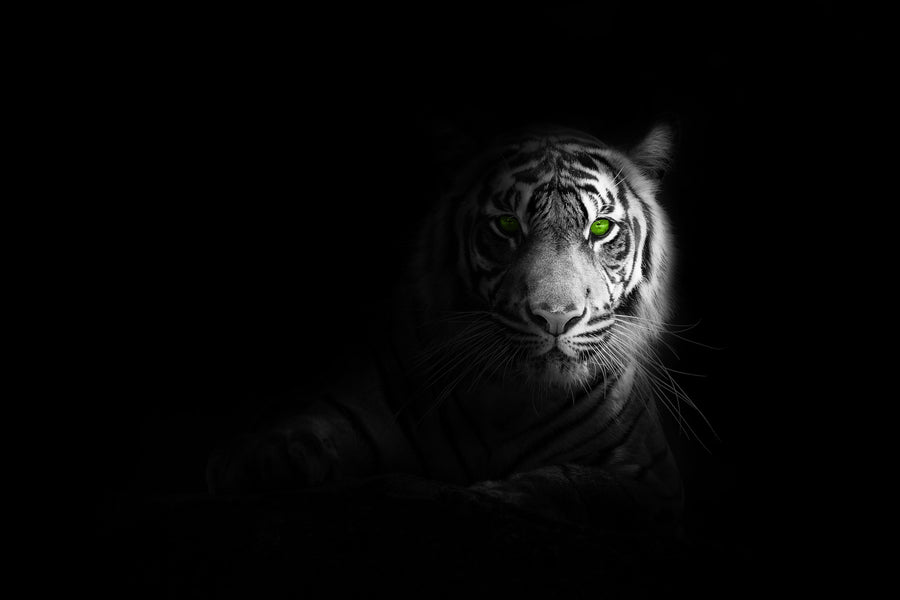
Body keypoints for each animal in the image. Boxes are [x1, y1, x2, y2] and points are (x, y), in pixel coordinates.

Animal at [207, 123, 692, 532]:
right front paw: (261, 468)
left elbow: (574, 484)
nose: (556, 316)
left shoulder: (653, 479)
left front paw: (488, 497)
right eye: (507, 224)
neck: (511, 400)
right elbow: (289, 440)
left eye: (601, 227)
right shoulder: (351, 406)